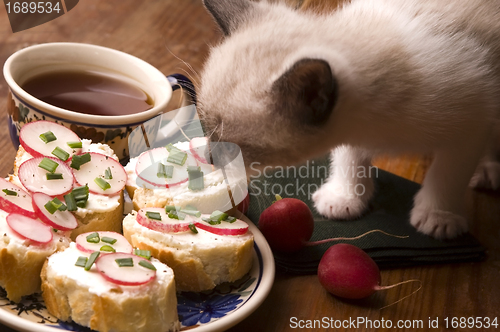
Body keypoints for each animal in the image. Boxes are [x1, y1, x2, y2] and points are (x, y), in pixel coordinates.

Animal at [197, 0, 498, 239]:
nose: (210, 158)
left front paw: (438, 216)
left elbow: (448, 174)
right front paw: (345, 197)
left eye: (232, 148)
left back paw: (487, 171)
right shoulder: (350, 132)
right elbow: (349, 159)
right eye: (206, 129)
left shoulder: (472, 121)